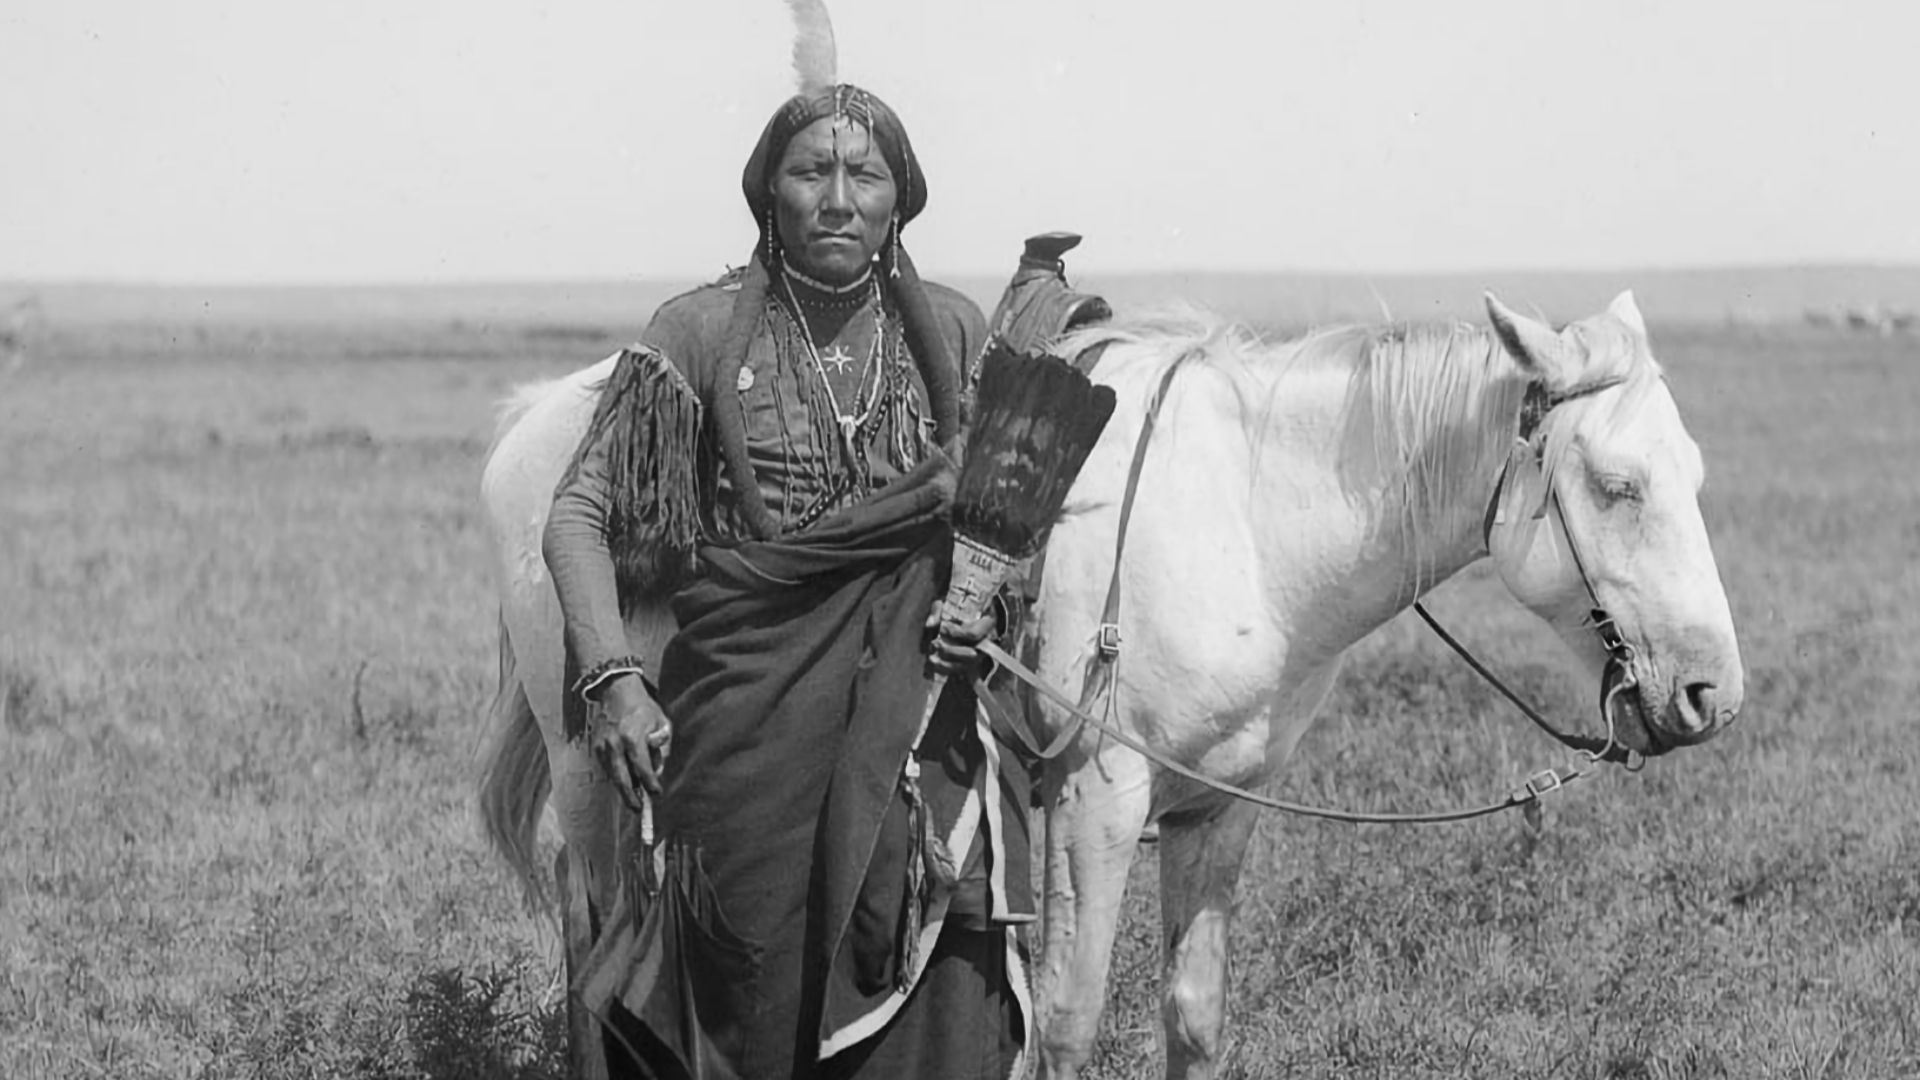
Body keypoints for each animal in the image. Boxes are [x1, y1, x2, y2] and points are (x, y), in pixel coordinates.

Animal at [473, 290, 1744, 1079]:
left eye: (1692, 471)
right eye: (1617, 483)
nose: (1710, 697)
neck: (1249, 520)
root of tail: (541, 417)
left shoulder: (1219, 807)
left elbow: (1195, 1013)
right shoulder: (1097, 801)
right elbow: (1071, 1021)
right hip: (594, 758)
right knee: (597, 929)